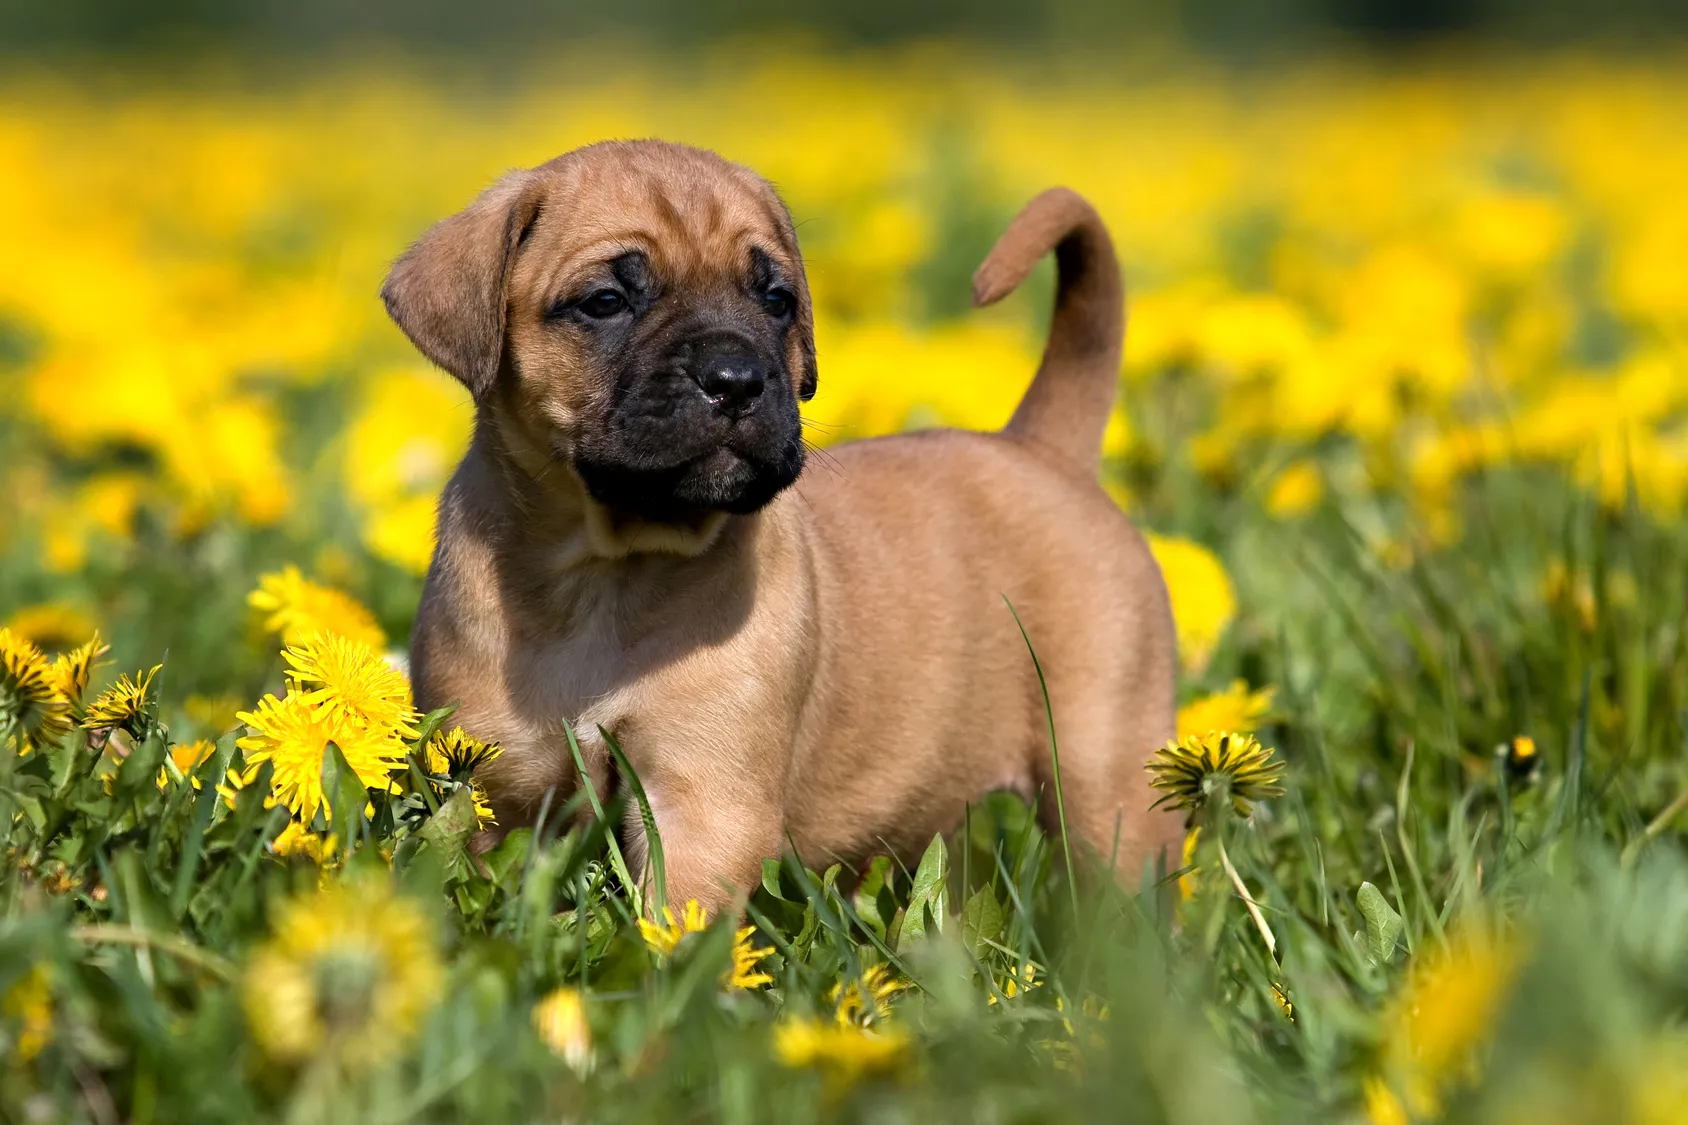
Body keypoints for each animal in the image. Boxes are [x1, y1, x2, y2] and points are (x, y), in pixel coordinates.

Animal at [384, 142, 1181, 912]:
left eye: (776, 300)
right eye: (606, 302)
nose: (737, 378)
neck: (609, 567)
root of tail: (1042, 447)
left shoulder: (706, 802)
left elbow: (674, 923)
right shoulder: (497, 787)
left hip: (1104, 774)